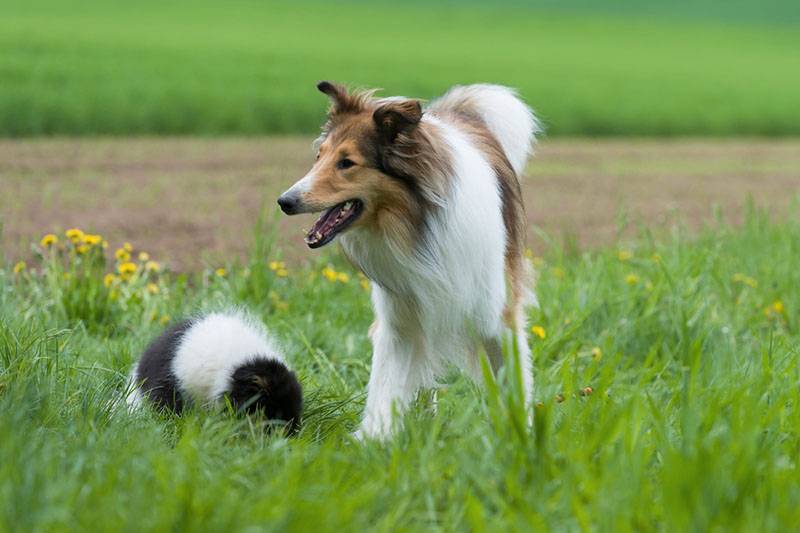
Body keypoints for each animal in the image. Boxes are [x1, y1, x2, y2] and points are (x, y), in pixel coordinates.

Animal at [278, 80, 540, 436]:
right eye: (319, 157)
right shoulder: (401, 317)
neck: (418, 223)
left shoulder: (496, 314)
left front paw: (523, 434)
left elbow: (515, 381)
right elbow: (386, 384)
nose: (284, 201)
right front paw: (374, 438)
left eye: (346, 162)